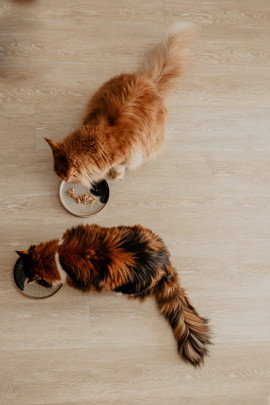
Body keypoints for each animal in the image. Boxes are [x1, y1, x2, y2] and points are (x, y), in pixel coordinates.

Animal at [45, 23, 195, 185]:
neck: (97, 140)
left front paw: (116, 174)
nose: (63, 180)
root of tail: (149, 81)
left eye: (65, 177)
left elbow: (120, 166)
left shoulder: (128, 155)